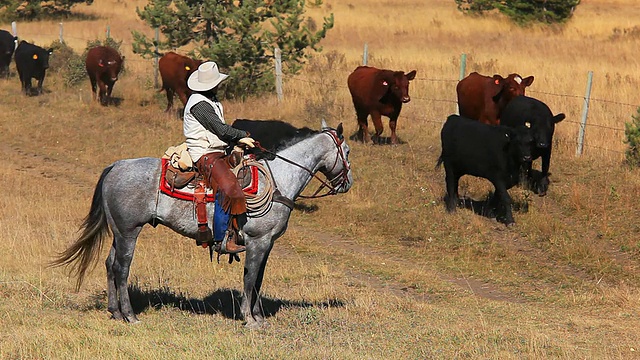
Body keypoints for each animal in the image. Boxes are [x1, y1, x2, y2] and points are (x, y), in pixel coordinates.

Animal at [52, 120, 352, 330]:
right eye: (347, 151)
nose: (347, 184)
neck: (278, 179)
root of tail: (115, 166)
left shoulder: (267, 245)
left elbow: (258, 280)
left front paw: (258, 317)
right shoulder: (258, 241)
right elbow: (250, 279)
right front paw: (250, 319)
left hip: (118, 232)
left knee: (109, 264)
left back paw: (115, 312)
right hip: (129, 231)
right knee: (121, 267)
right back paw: (130, 316)